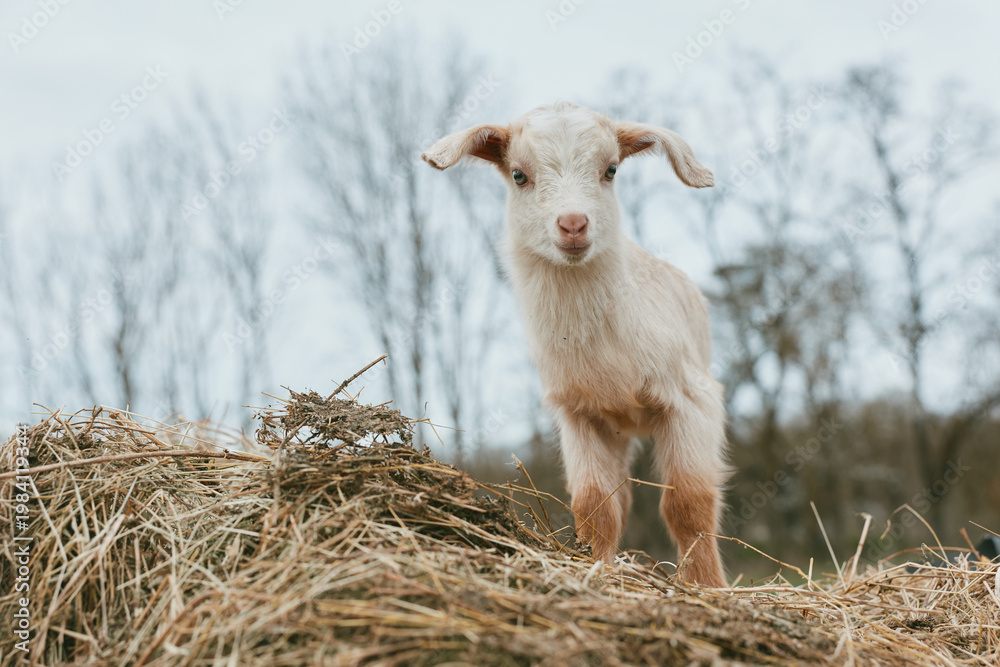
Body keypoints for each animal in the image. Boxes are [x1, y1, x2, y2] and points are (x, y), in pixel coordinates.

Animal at [421, 102, 727, 587]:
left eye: (611, 170)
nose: (573, 224)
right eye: (519, 175)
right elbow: (595, 507)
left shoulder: (691, 400)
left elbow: (688, 504)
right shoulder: (578, 412)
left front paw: (706, 588)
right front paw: (596, 568)